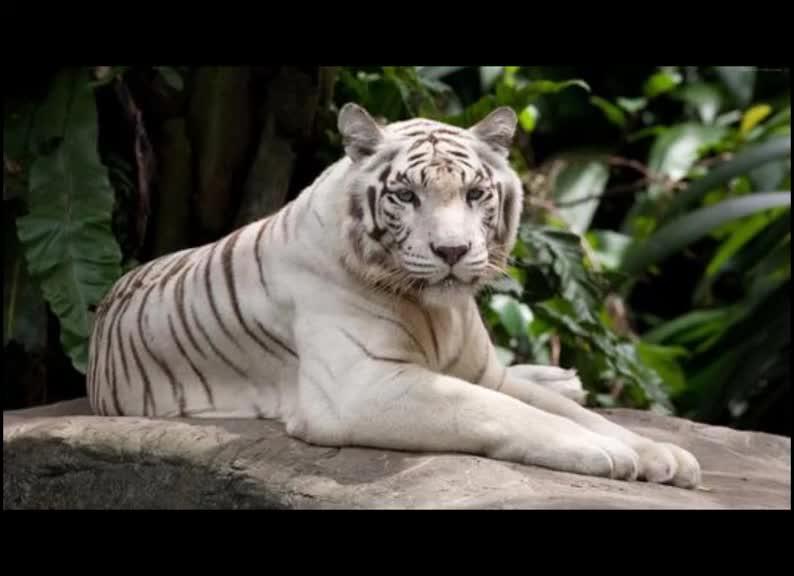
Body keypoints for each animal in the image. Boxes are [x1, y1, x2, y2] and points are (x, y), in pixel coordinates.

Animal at [87, 103, 702, 488]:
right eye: (406, 196)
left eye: (475, 194)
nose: (453, 250)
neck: (440, 312)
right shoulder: (360, 387)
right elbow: (501, 414)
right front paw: (612, 454)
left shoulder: (483, 372)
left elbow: (557, 408)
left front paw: (661, 453)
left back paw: (565, 378)